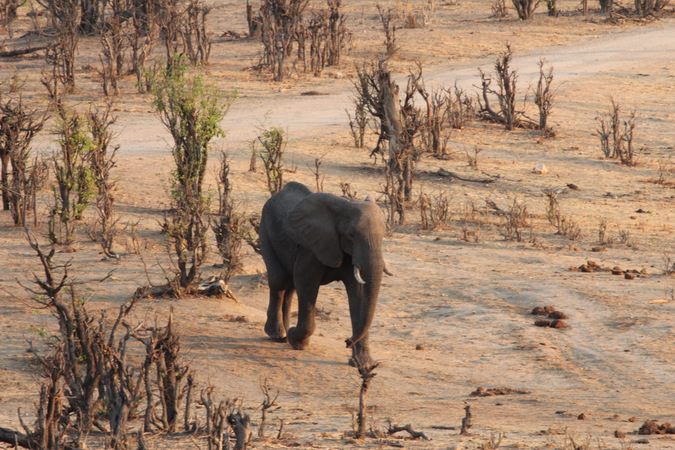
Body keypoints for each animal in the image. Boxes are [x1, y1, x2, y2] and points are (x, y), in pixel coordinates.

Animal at [258, 181, 390, 368]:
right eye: (351, 235)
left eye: (383, 235)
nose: (347, 341)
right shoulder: (312, 248)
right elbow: (306, 283)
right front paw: (296, 340)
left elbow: (358, 294)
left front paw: (363, 365)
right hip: (266, 229)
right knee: (279, 281)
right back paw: (279, 335)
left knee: (289, 287)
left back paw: (283, 335)